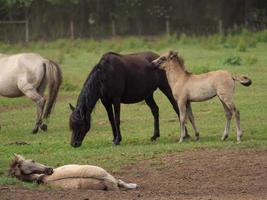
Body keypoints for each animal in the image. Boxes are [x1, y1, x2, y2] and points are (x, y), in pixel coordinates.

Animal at [8, 153, 138, 191]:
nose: (50, 170)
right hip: (105, 173)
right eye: (32, 161)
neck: (39, 178)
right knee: (119, 181)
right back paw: (133, 185)